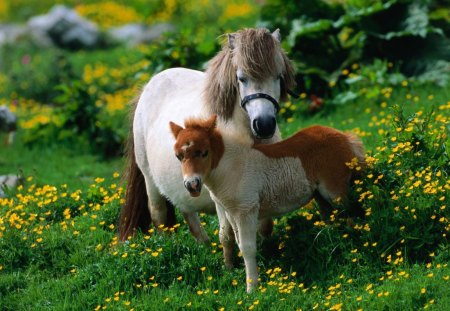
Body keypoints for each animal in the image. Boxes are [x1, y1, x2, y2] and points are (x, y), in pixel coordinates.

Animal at [118, 29, 296, 243]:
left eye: (278, 76)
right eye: (242, 78)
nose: (264, 124)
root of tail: (147, 87)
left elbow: (265, 226)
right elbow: (230, 232)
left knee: (187, 211)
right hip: (150, 180)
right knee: (158, 214)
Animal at [170, 115, 366, 292]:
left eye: (204, 152)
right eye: (178, 156)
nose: (192, 185)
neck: (231, 167)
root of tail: (345, 137)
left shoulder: (246, 210)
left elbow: (248, 248)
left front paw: (252, 289)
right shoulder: (231, 212)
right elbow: (233, 241)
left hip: (335, 192)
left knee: (353, 213)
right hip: (320, 196)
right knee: (331, 218)